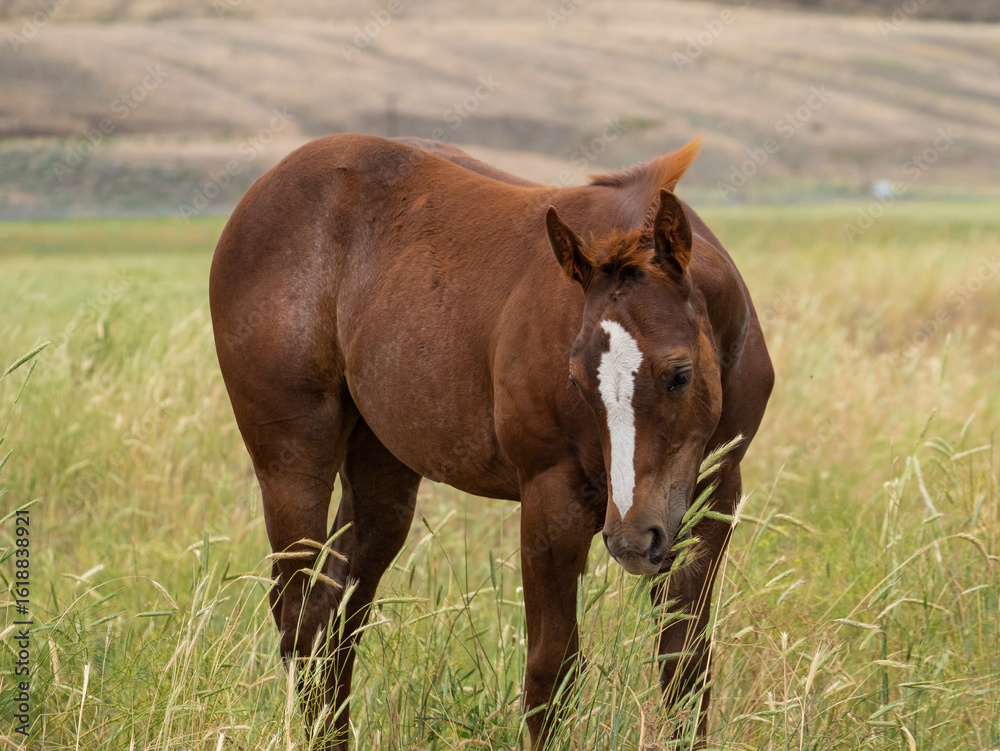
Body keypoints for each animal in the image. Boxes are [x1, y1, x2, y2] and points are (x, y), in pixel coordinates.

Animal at [209, 133, 773, 749]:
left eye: (680, 375)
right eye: (575, 381)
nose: (631, 539)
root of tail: (262, 191)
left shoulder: (712, 497)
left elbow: (686, 665)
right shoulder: (551, 498)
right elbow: (551, 670)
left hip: (382, 468)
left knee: (334, 613)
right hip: (291, 464)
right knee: (299, 614)